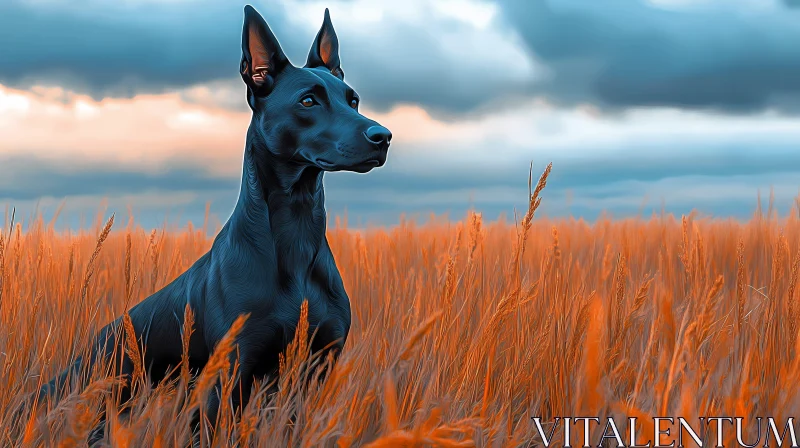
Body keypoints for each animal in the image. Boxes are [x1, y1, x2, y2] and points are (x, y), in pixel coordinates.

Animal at [36, 3, 392, 428]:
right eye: (308, 102)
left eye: (352, 100)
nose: (383, 136)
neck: (296, 236)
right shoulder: (231, 372)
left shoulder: (316, 368)